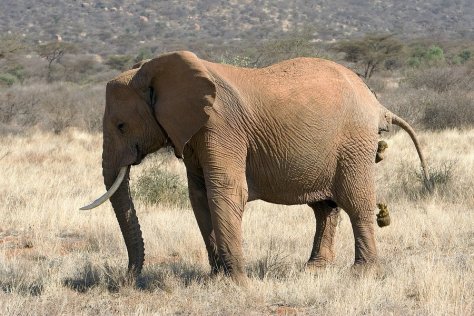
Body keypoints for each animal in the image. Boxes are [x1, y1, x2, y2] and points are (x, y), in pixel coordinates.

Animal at [82, 51, 434, 284]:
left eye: (122, 126)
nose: (127, 278)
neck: (156, 71)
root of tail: (377, 103)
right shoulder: (194, 134)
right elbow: (199, 196)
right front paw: (217, 279)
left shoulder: (221, 128)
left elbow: (225, 192)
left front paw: (237, 283)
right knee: (325, 207)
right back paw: (314, 269)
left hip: (354, 142)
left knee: (356, 202)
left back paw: (362, 274)